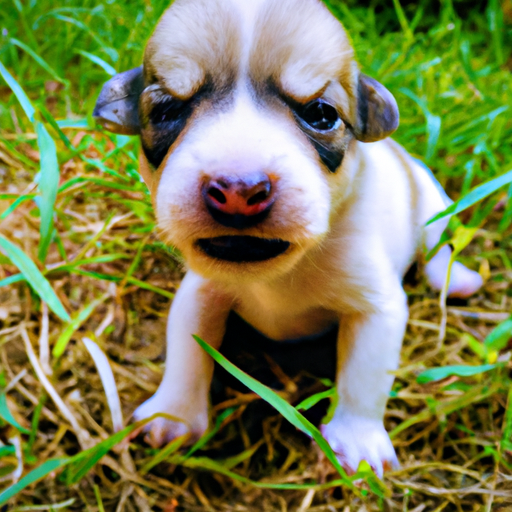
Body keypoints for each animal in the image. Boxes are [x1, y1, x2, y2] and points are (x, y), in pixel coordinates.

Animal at [94, 0, 482, 476]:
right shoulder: (200, 293)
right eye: (165, 111)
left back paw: (455, 277)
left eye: (322, 114)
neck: (279, 273)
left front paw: (358, 439)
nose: (238, 191)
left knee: (438, 247)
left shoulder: (378, 306)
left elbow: (366, 375)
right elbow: (187, 350)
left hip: (431, 204)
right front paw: (175, 415)